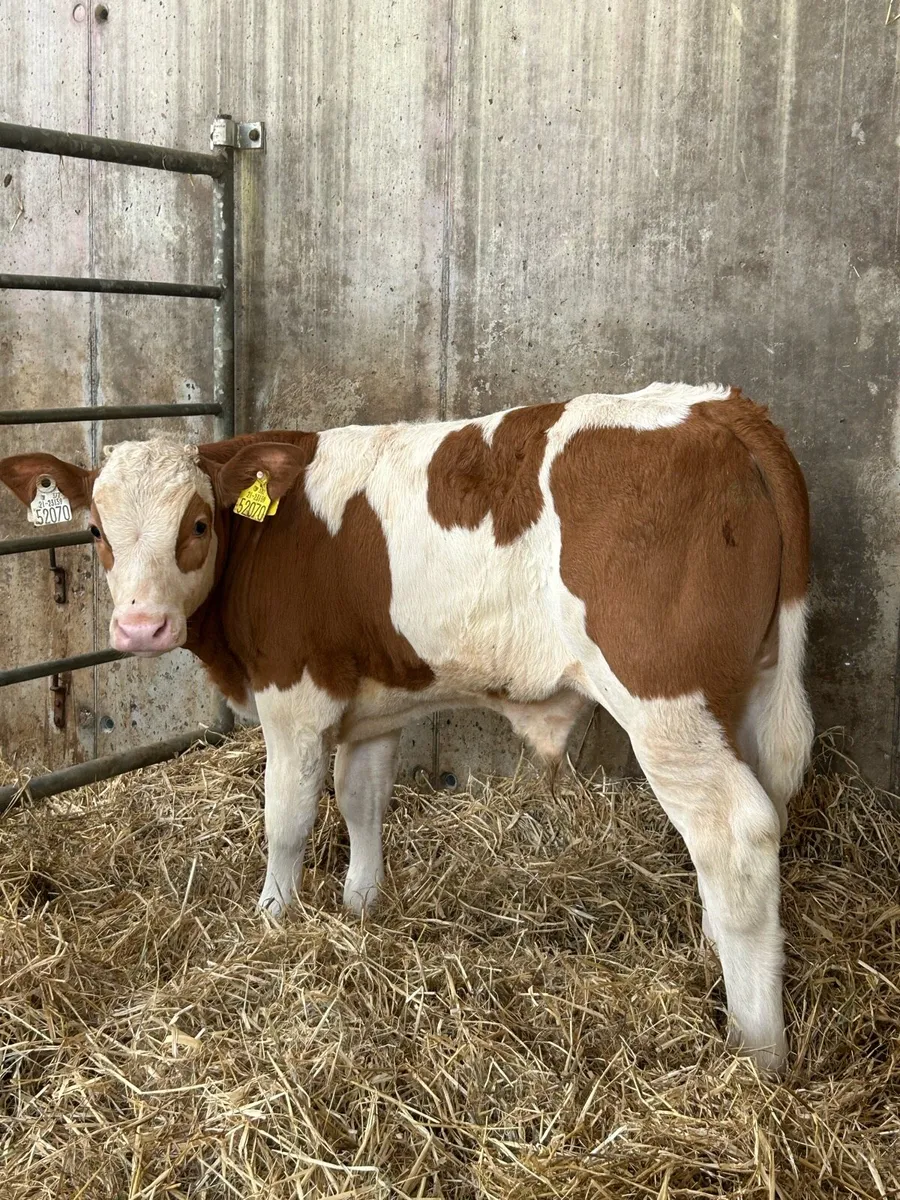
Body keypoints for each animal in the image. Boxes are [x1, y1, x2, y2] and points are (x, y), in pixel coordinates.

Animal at [0, 382, 813, 1070]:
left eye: (197, 524)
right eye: (97, 531)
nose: (139, 627)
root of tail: (714, 405)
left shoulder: (294, 698)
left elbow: (287, 818)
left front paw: (273, 918)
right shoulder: (375, 703)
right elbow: (362, 799)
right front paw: (360, 905)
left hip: (664, 701)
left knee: (736, 832)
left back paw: (756, 1049)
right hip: (742, 692)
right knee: (757, 815)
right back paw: (717, 949)